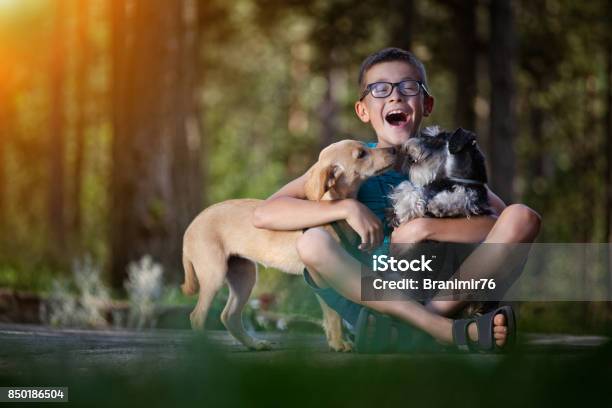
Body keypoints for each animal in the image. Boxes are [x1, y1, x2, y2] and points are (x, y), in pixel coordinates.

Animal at [180, 141, 396, 350]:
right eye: (361, 154)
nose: (394, 150)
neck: (334, 210)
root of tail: (191, 226)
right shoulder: (322, 273)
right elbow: (334, 312)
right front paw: (339, 343)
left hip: (244, 275)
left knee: (229, 316)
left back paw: (254, 344)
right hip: (214, 274)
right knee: (197, 316)